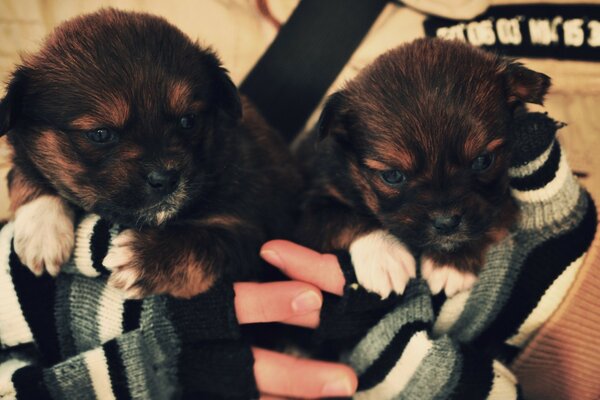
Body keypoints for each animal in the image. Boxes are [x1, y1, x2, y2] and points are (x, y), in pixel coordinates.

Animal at [0, 8, 300, 296]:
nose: (166, 179)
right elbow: (22, 167)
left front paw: (144, 259)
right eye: (100, 134)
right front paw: (42, 230)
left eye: (188, 120)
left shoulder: (253, 233)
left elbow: (211, 241)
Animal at [298, 39, 552, 298]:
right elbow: (346, 217)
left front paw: (452, 262)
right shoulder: (312, 205)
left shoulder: (501, 196)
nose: (447, 223)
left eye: (483, 161)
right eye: (392, 175)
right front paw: (385, 257)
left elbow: (492, 218)